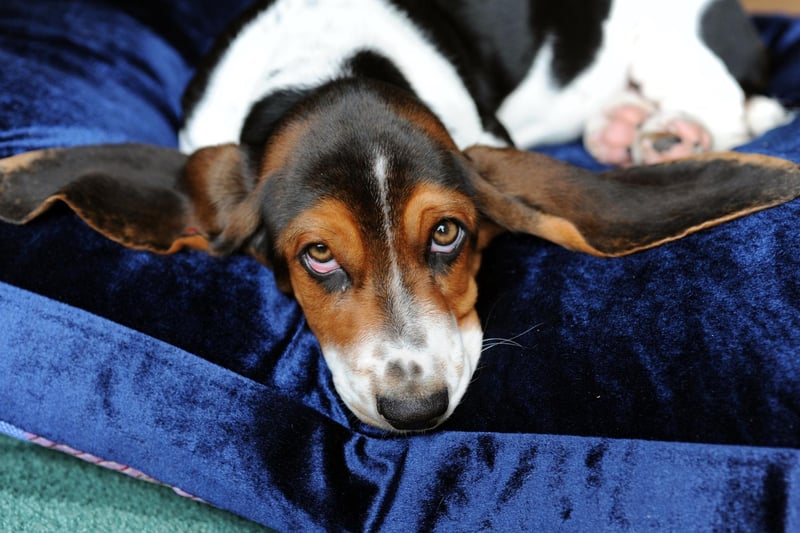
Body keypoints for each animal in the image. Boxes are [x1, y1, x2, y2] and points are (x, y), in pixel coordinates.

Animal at [1, 1, 800, 432]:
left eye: (448, 233)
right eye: (318, 254)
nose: (415, 409)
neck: (328, 66)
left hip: (674, 38)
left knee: (736, 106)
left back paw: (669, 133)